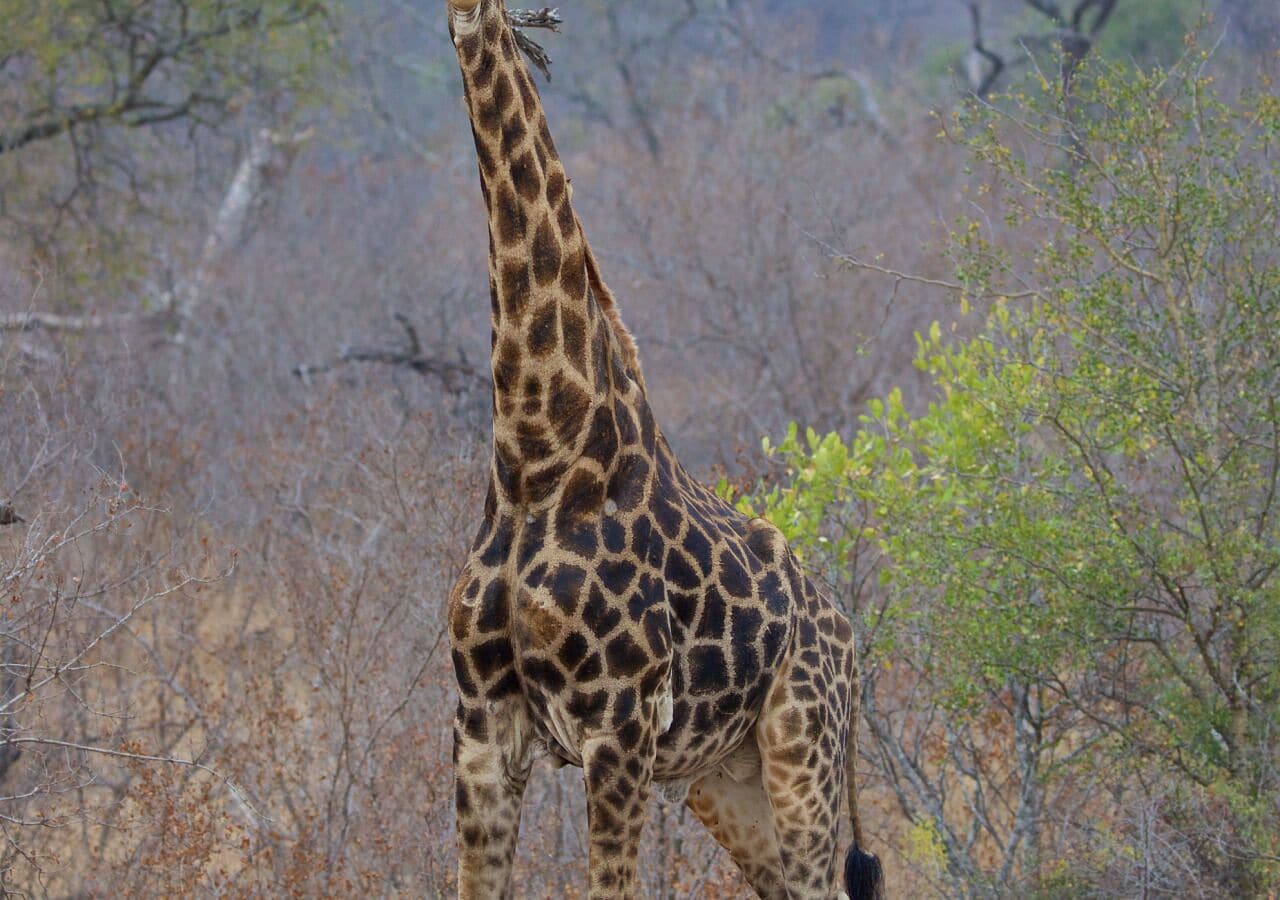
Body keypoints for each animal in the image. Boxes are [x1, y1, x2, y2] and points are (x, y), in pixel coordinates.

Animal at [442, 2, 884, 897]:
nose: (459, 15)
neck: (536, 452)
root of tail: (852, 643)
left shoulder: (619, 729)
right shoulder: (480, 726)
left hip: (805, 757)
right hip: (727, 782)